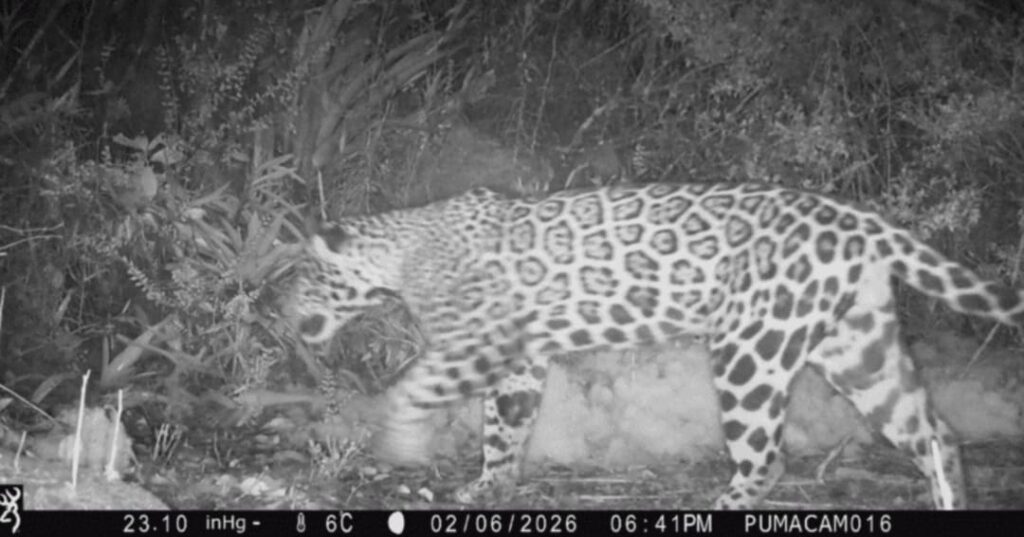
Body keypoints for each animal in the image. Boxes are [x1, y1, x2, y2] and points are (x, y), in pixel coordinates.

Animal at [290, 181, 1024, 509]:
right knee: (933, 431)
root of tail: (858, 216)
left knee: (769, 456)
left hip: (751, 348)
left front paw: (398, 441)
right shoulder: (516, 360)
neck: (400, 250)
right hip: (857, 346)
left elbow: (413, 388)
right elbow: (505, 425)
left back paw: (726, 502)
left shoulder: (476, 342)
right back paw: (950, 499)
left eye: (303, 274)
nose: (279, 305)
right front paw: (489, 484)